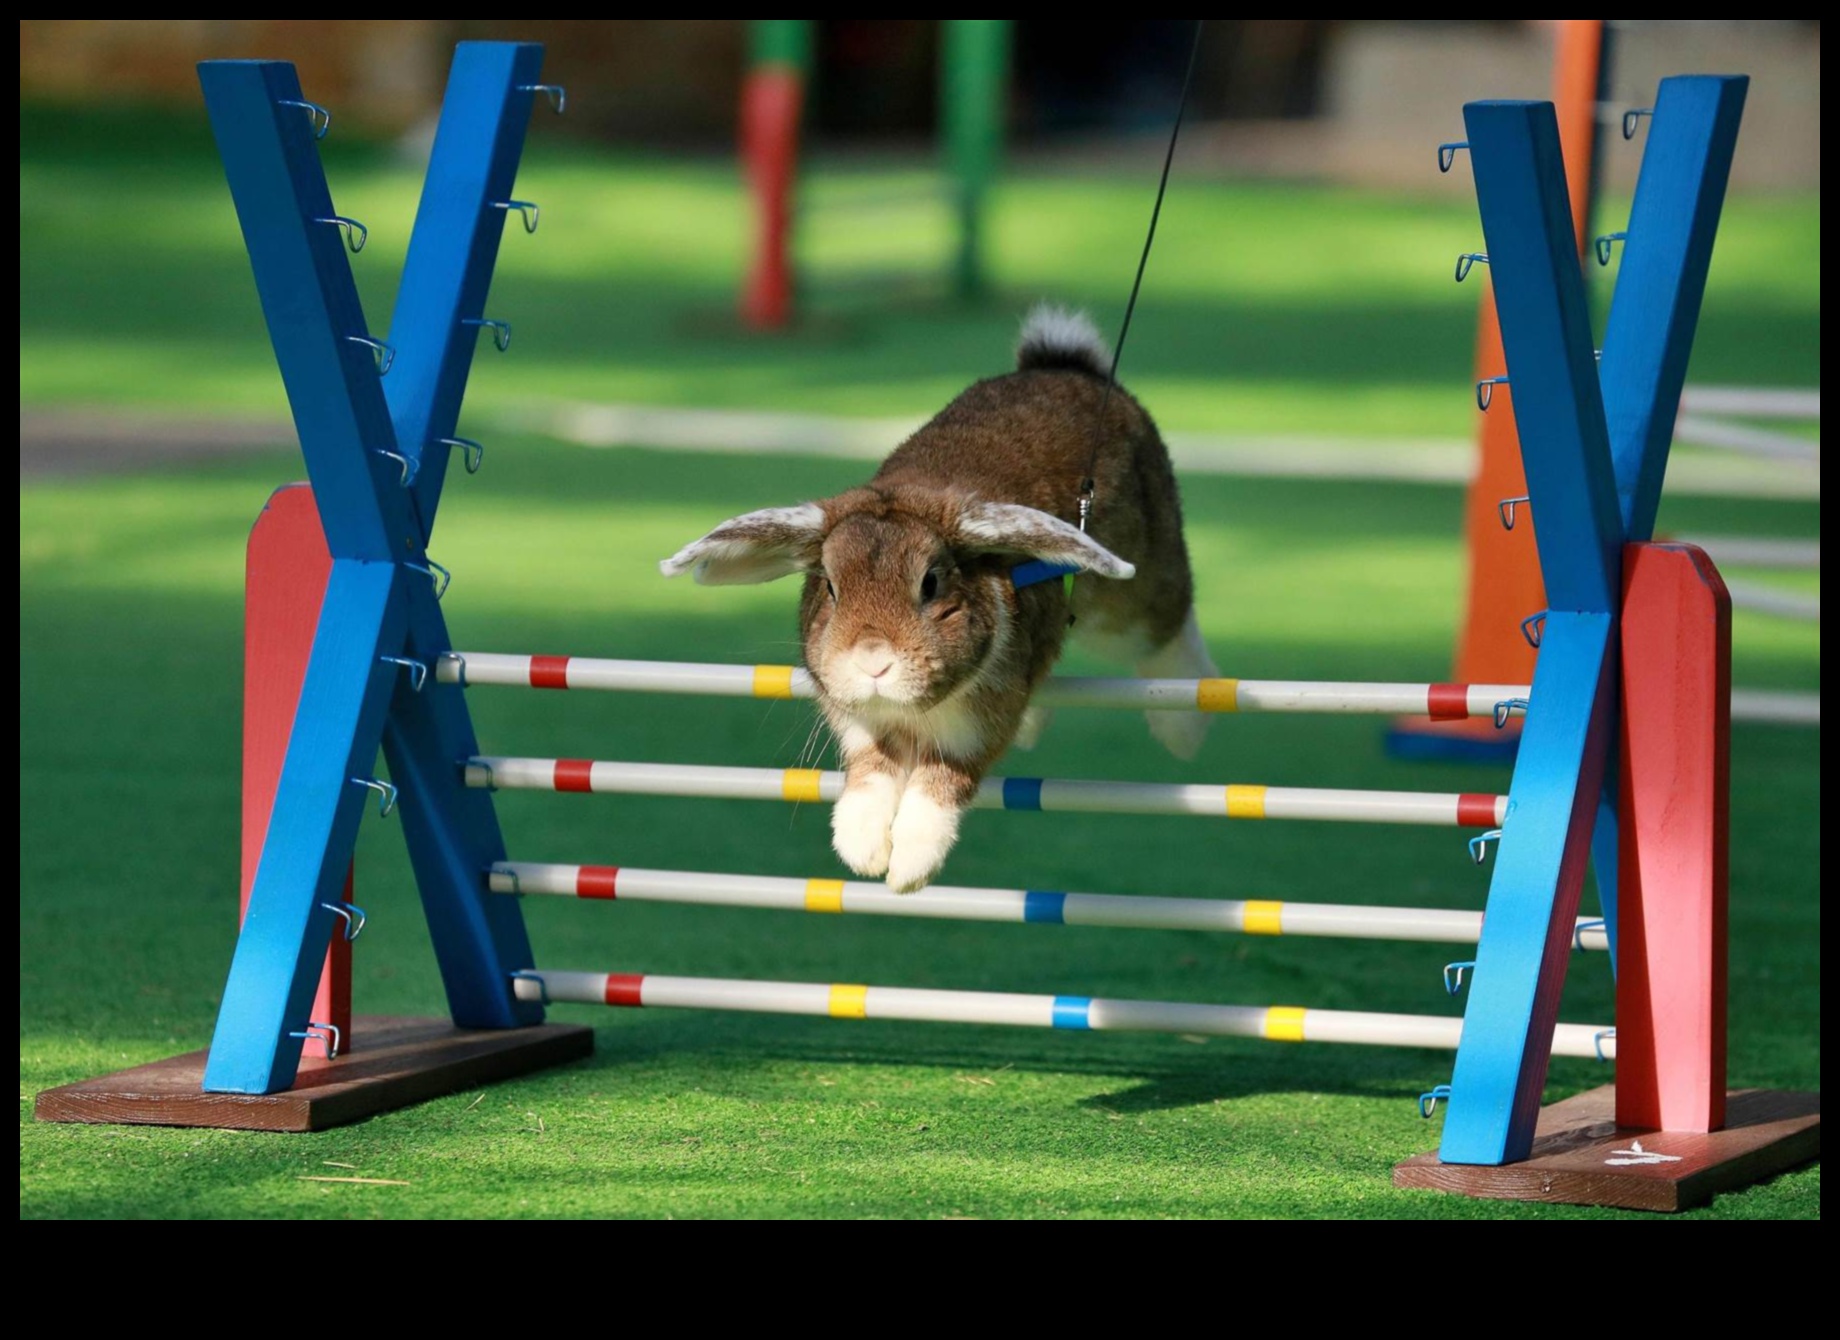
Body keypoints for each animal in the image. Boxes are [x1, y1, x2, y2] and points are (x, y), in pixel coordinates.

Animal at [662, 303, 1221, 890]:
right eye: (830, 586)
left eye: (931, 582)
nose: (873, 660)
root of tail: (1066, 364)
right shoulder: (860, 725)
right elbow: (871, 775)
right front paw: (862, 849)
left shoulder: (975, 729)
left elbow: (939, 784)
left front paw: (908, 867)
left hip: (1133, 593)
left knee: (1168, 627)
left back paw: (1184, 728)